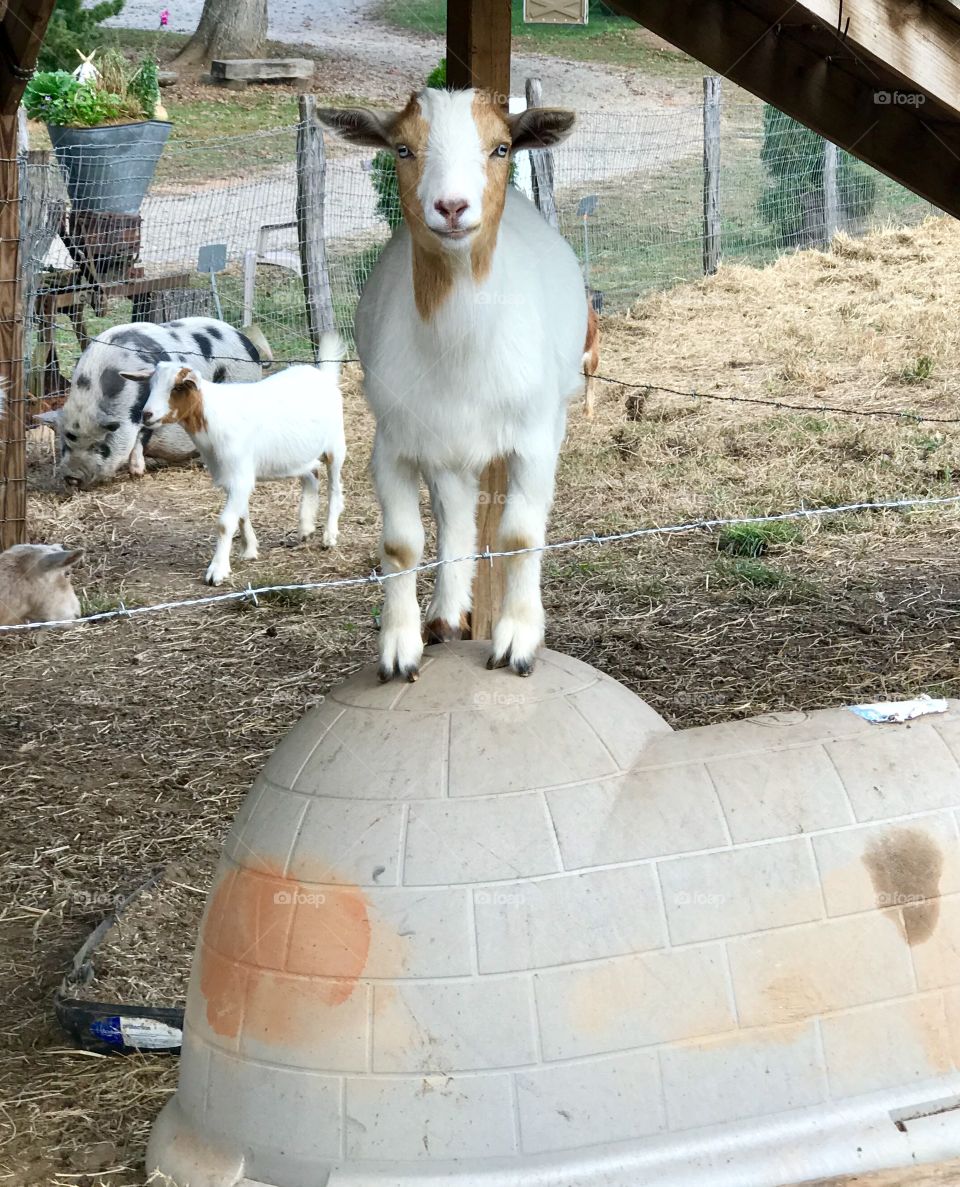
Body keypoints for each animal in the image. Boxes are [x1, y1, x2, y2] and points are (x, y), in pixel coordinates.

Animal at [125, 337, 346, 586]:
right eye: (151, 385)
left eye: (177, 387)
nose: (146, 415)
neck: (211, 417)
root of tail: (322, 375)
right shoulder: (230, 475)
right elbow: (241, 514)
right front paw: (249, 550)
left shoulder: (239, 473)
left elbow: (225, 523)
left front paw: (217, 570)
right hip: (297, 455)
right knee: (311, 475)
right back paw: (306, 528)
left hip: (336, 445)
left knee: (334, 487)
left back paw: (329, 537)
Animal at [320, 88, 586, 680]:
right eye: (402, 148)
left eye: (501, 147)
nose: (451, 207)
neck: (458, 349)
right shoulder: (394, 441)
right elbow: (401, 544)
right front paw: (398, 649)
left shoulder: (532, 438)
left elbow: (520, 534)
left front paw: (517, 642)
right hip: (443, 443)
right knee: (454, 515)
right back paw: (444, 615)